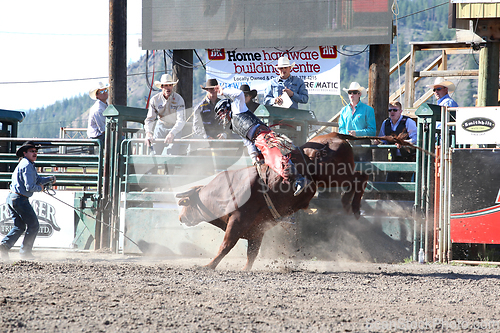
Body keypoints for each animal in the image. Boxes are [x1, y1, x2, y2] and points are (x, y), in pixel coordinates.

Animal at [176, 131, 422, 268]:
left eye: (187, 205)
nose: (179, 218)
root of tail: (336, 135)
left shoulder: (237, 221)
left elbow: (225, 246)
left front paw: (207, 266)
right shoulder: (257, 231)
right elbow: (251, 254)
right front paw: (244, 270)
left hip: (334, 174)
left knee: (361, 177)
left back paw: (351, 206)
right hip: (331, 178)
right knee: (357, 180)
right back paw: (347, 203)